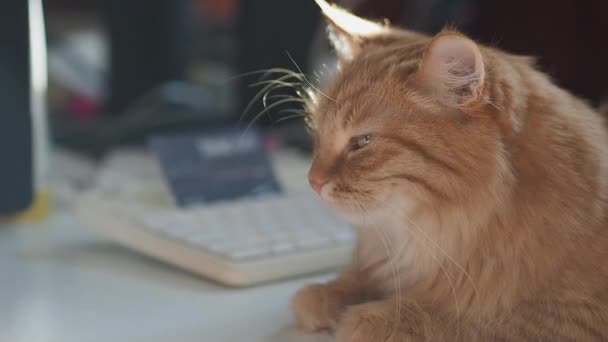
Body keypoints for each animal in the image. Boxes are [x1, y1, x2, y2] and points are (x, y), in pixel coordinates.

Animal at [290, 1, 608, 340]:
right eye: (318, 134)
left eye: (362, 141)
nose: (312, 181)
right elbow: (358, 278)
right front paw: (326, 294)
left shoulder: (571, 316)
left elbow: (470, 319)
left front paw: (367, 318)